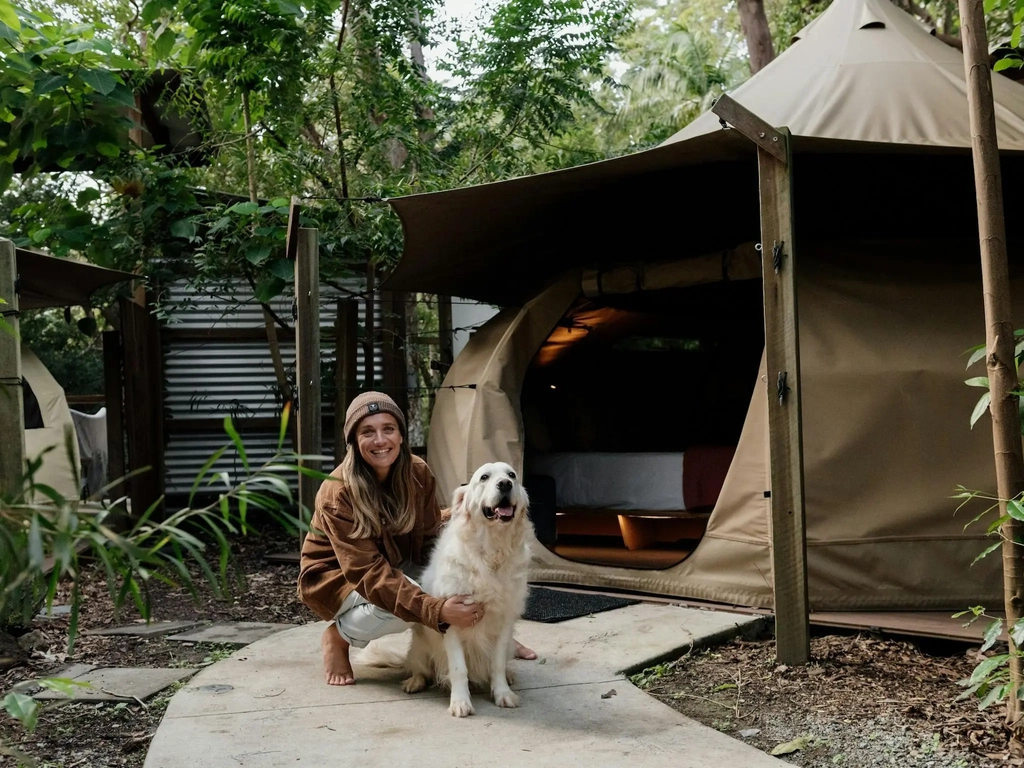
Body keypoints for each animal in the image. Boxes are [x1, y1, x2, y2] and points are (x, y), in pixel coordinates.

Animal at [397, 462, 528, 720]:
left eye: (512, 475)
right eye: (484, 477)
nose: (505, 484)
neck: (491, 549)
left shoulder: (505, 621)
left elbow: (497, 663)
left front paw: (502, 693)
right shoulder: (452, 620)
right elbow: (458, 668)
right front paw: (460, 702)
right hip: (419, 646)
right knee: (420, 667)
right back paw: (415, 681)